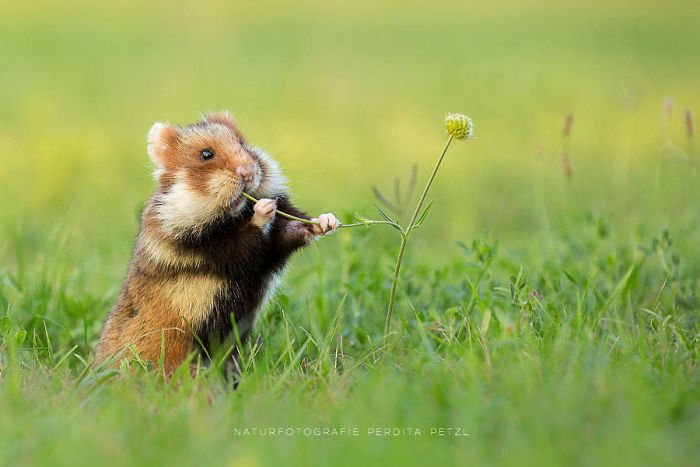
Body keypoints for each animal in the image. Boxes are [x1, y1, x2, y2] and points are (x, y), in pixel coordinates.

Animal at [95, 111, 339, 378]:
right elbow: (245, 240)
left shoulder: (270, 250)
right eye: (206, 155)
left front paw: (328, 221)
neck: (232, 216)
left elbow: (290, 230)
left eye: (243, 145)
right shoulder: (209, 249)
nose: (247, 173)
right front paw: (264, 208)